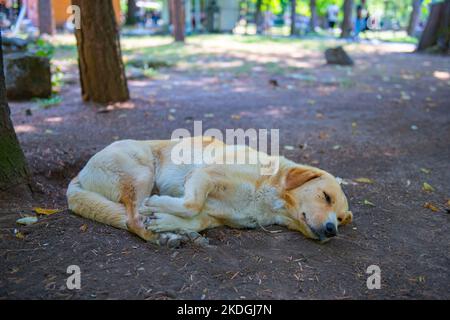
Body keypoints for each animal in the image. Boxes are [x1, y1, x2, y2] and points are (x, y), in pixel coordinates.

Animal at [68, 136, 354, 246]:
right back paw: (162, 234)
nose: (332, 230)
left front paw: (166, 221)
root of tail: (78, 175)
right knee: (133, 218)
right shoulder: (202, 176)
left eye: (340, 218)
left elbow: (194, 219)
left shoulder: (214, 217)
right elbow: (190, 204)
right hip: (142, 174)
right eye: (325, 196)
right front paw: (159, 206)